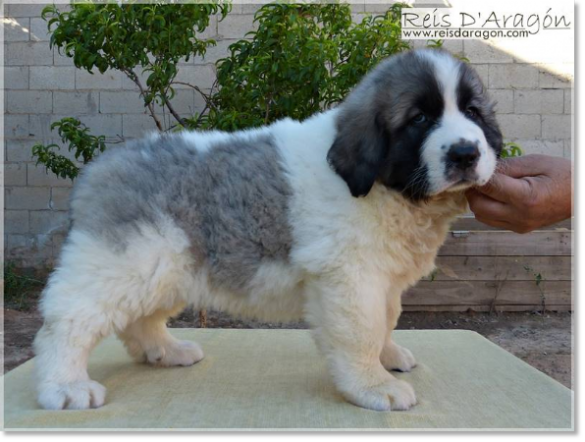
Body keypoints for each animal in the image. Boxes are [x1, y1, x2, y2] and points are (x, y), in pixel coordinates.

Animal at [33, 50, 502, 412]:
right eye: (420, 118)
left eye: (473, 113)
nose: (466, 152)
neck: (387, 188)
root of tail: (102, 167)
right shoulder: (350, 277)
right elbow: (362, 330)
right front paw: (373, 385)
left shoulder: (381, 277)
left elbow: (386, 319)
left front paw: (387, 357)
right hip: (125, 263)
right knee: (67, 323)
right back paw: (65, 386)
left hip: (165, 267)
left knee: (140, 318)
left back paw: (165, 351)